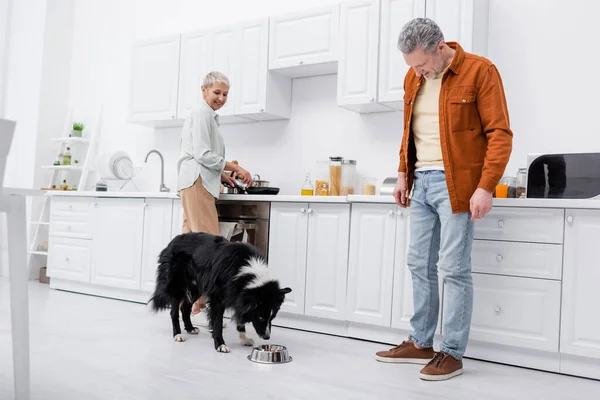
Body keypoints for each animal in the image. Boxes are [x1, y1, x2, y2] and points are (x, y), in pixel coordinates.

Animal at [149, 231, 292, 354]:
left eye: (272, 317)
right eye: (261, 317)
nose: (267, 337)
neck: (247, 274)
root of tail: (174, 240)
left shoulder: (236, 294)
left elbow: (240, 315)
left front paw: (244, 338)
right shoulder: (218, 296)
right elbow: (217, 322)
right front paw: (220, 345)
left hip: (196, 287)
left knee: (185, 307)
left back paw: (190, 328)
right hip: (177, 284)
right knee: (174, 311)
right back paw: (178, 335)